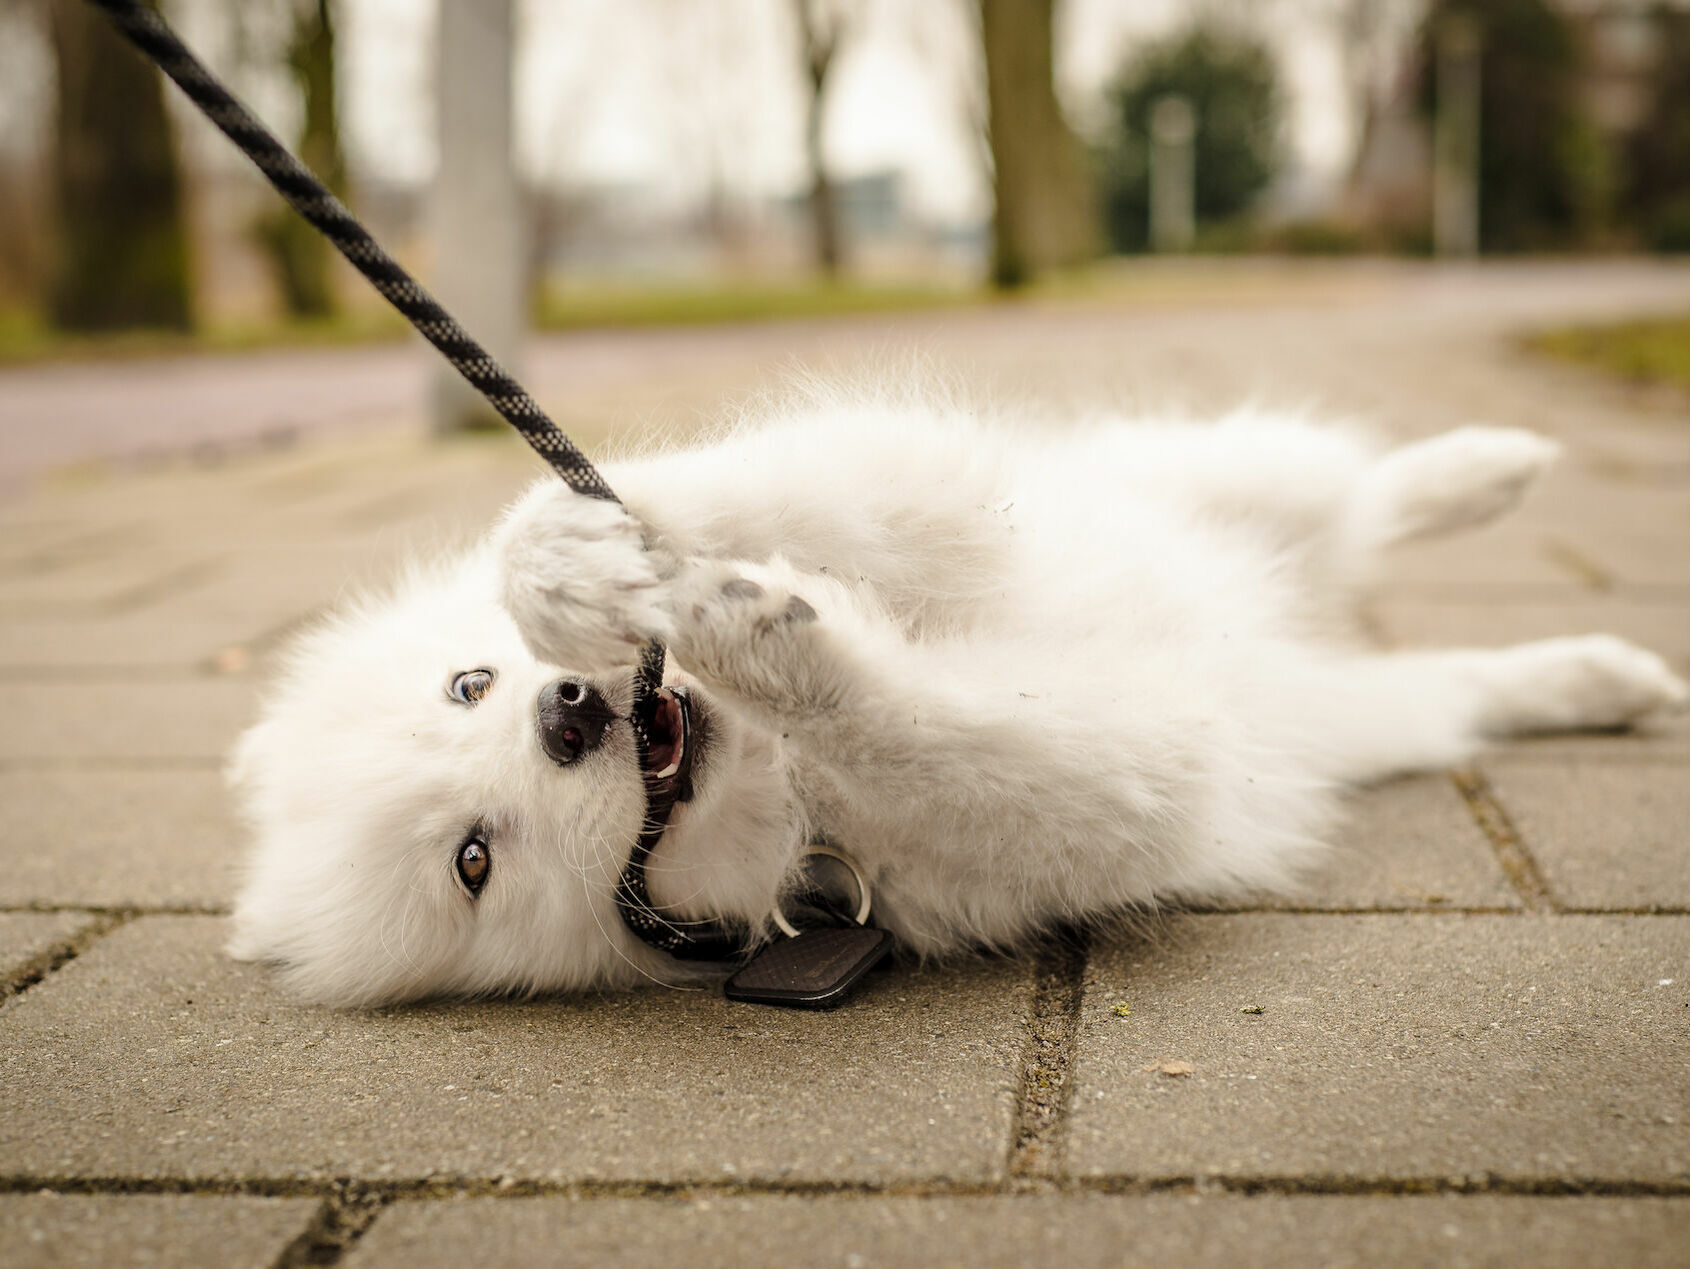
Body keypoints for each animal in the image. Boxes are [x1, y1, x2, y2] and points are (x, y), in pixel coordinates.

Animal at [228, 392, 1690, 1007]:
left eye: (470, 681)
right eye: (473, 858)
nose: (570, 714)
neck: (772, 780)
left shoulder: (935, 498)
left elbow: (806, 497)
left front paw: (589, 562)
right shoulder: (1110, 787)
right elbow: (936, 731)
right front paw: (766, 637)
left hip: (1214, 479)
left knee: (1353, 497)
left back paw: (1490, 468)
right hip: (1366, 715)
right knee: (1449, 669)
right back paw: (1601, 674)